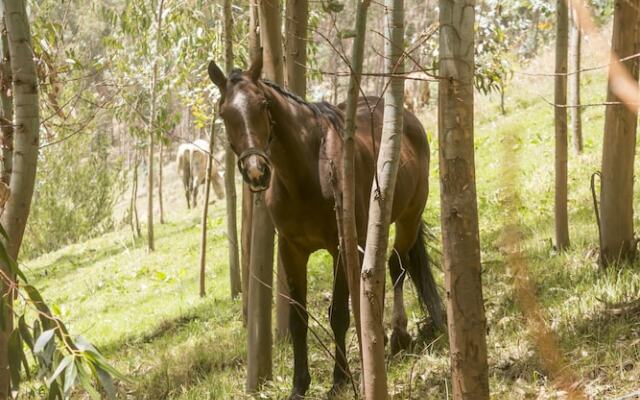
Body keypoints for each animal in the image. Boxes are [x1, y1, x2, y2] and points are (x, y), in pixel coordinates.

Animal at [208, 54, 442, 400]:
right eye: (224, 113)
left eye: (263, 104)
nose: (256, 171)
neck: (306, 171)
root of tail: (408, 120)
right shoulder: (291, 249)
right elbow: (298, 318)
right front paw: (299, 384)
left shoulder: (339, 245)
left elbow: (338, 314)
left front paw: (340, 379)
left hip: (409, 217)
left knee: (396, 267)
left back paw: (398, 334)